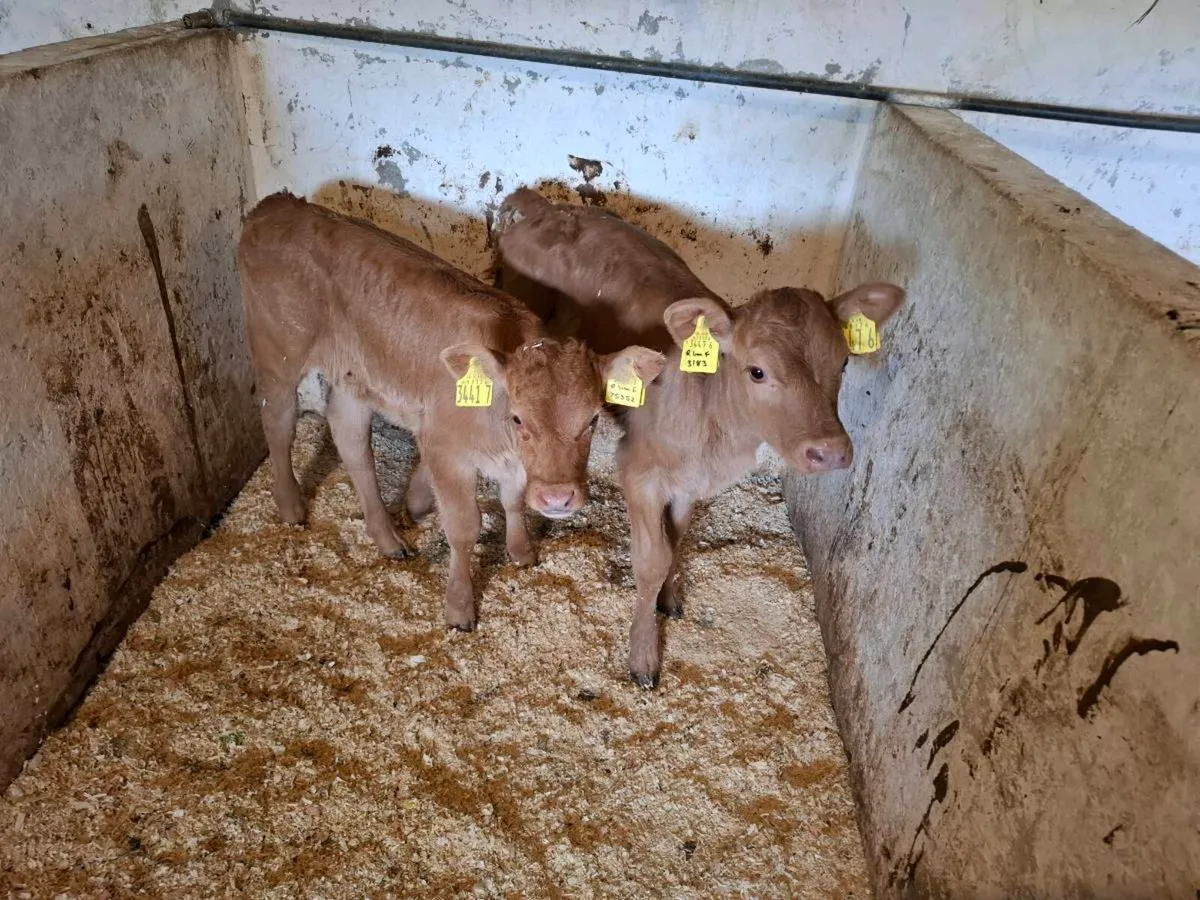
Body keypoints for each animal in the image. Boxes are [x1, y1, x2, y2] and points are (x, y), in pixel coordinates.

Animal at [238, 191, 664, 632]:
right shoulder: (445, 451)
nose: (558, 498)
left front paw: (521, 552)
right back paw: (291, 507)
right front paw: (459, 607)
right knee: (278, 422)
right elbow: (464, 528)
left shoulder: (514, 463)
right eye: (518, 417)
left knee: (350, 439)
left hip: (353, 376)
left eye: (593, 419)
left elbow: (513, 501)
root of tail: (276, 205)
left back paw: (387, 537)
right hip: (278, 350)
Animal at [496, 188, 905, 686]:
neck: (715, 438)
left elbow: (678, 537)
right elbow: (652, 560)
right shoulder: (640, 472)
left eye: (844, 362)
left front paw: (670, 598)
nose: (828, 451)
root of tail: (545, 205)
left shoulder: (690, 483)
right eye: (757, 371)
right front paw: (643, 654)